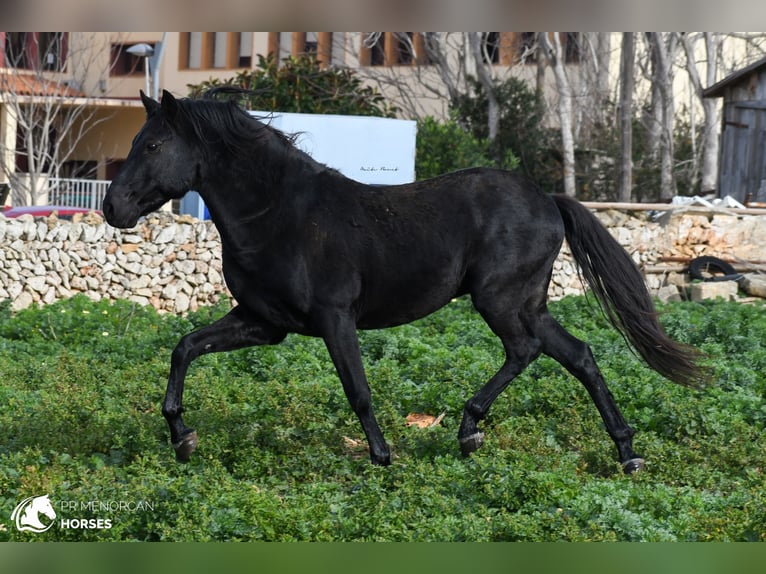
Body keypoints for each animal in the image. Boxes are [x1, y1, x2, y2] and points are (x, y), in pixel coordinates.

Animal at [103, 91, 708, 476]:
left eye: (152, 145)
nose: (113, 208)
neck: (279, 212)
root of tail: (548, 200)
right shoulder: (263, 323)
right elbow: (185, 347)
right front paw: (182, 438)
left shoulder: (334, 318)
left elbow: (358, 389)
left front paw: (382, 458)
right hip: (527, 303)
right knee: (576, 354)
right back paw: (624, 452)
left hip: (500, 299)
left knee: (528, 350)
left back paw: (471, 429)